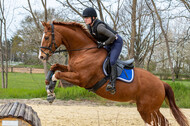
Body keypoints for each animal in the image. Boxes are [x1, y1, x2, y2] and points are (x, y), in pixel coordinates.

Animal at [38, 21, 189, 125]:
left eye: (46, 37)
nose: (41, 56)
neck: (85, 51)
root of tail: (161, 83)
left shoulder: (81, 79)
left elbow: (58, 74)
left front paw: (50, 92)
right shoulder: (71, 70)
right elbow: (55, 67)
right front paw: (49, 88)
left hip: (147, 109)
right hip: (152, 109)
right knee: (163, 122)